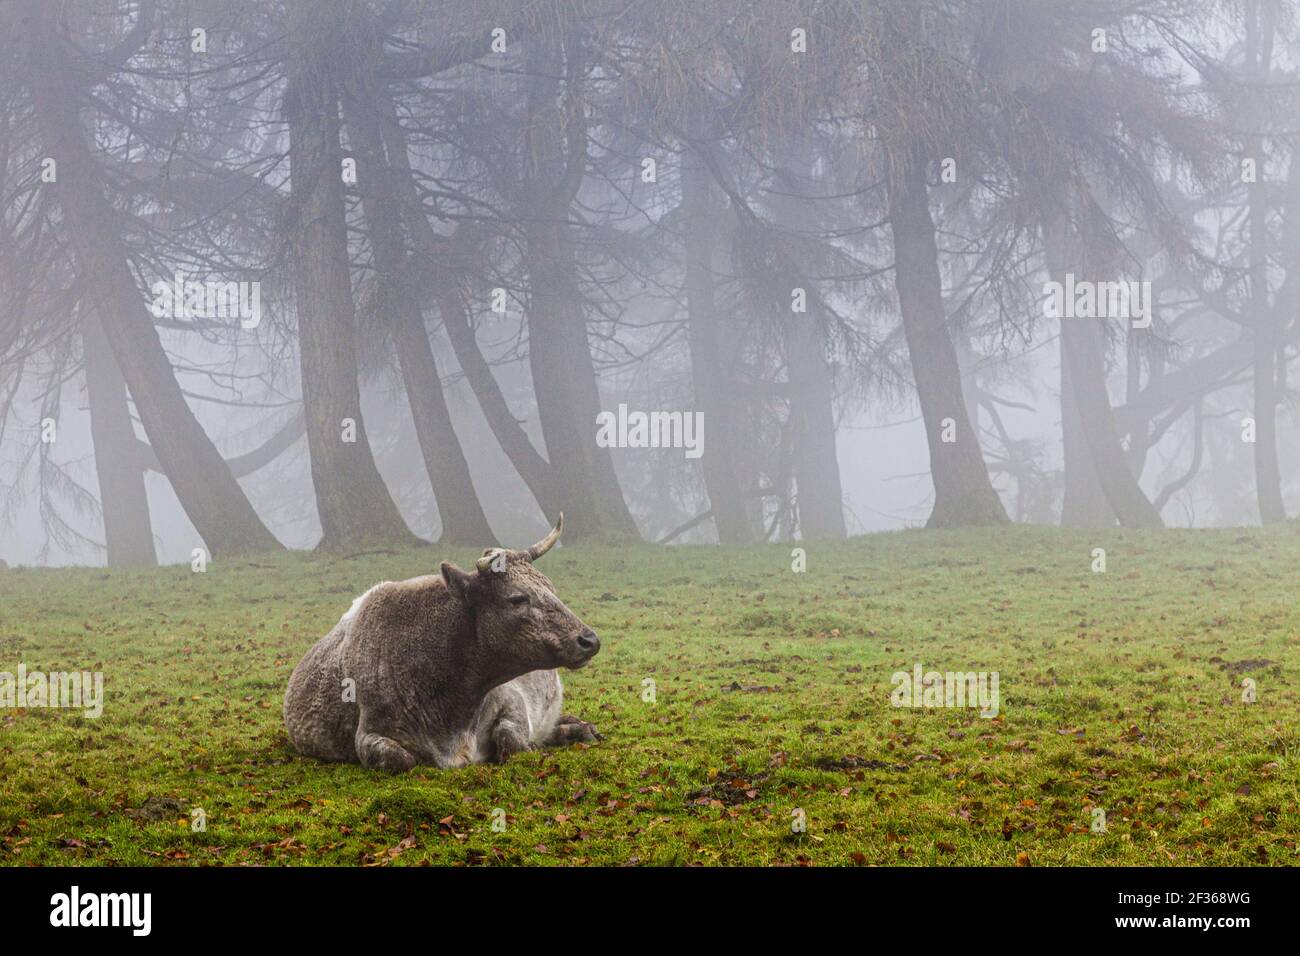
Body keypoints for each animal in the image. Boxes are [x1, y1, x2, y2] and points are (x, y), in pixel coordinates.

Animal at [282, 515, 600, 770]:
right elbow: (400, 759)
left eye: (551, 587)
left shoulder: (511, 698)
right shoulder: (369, 734)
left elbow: (512, 738)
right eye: (517, 598)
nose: (589, 640)